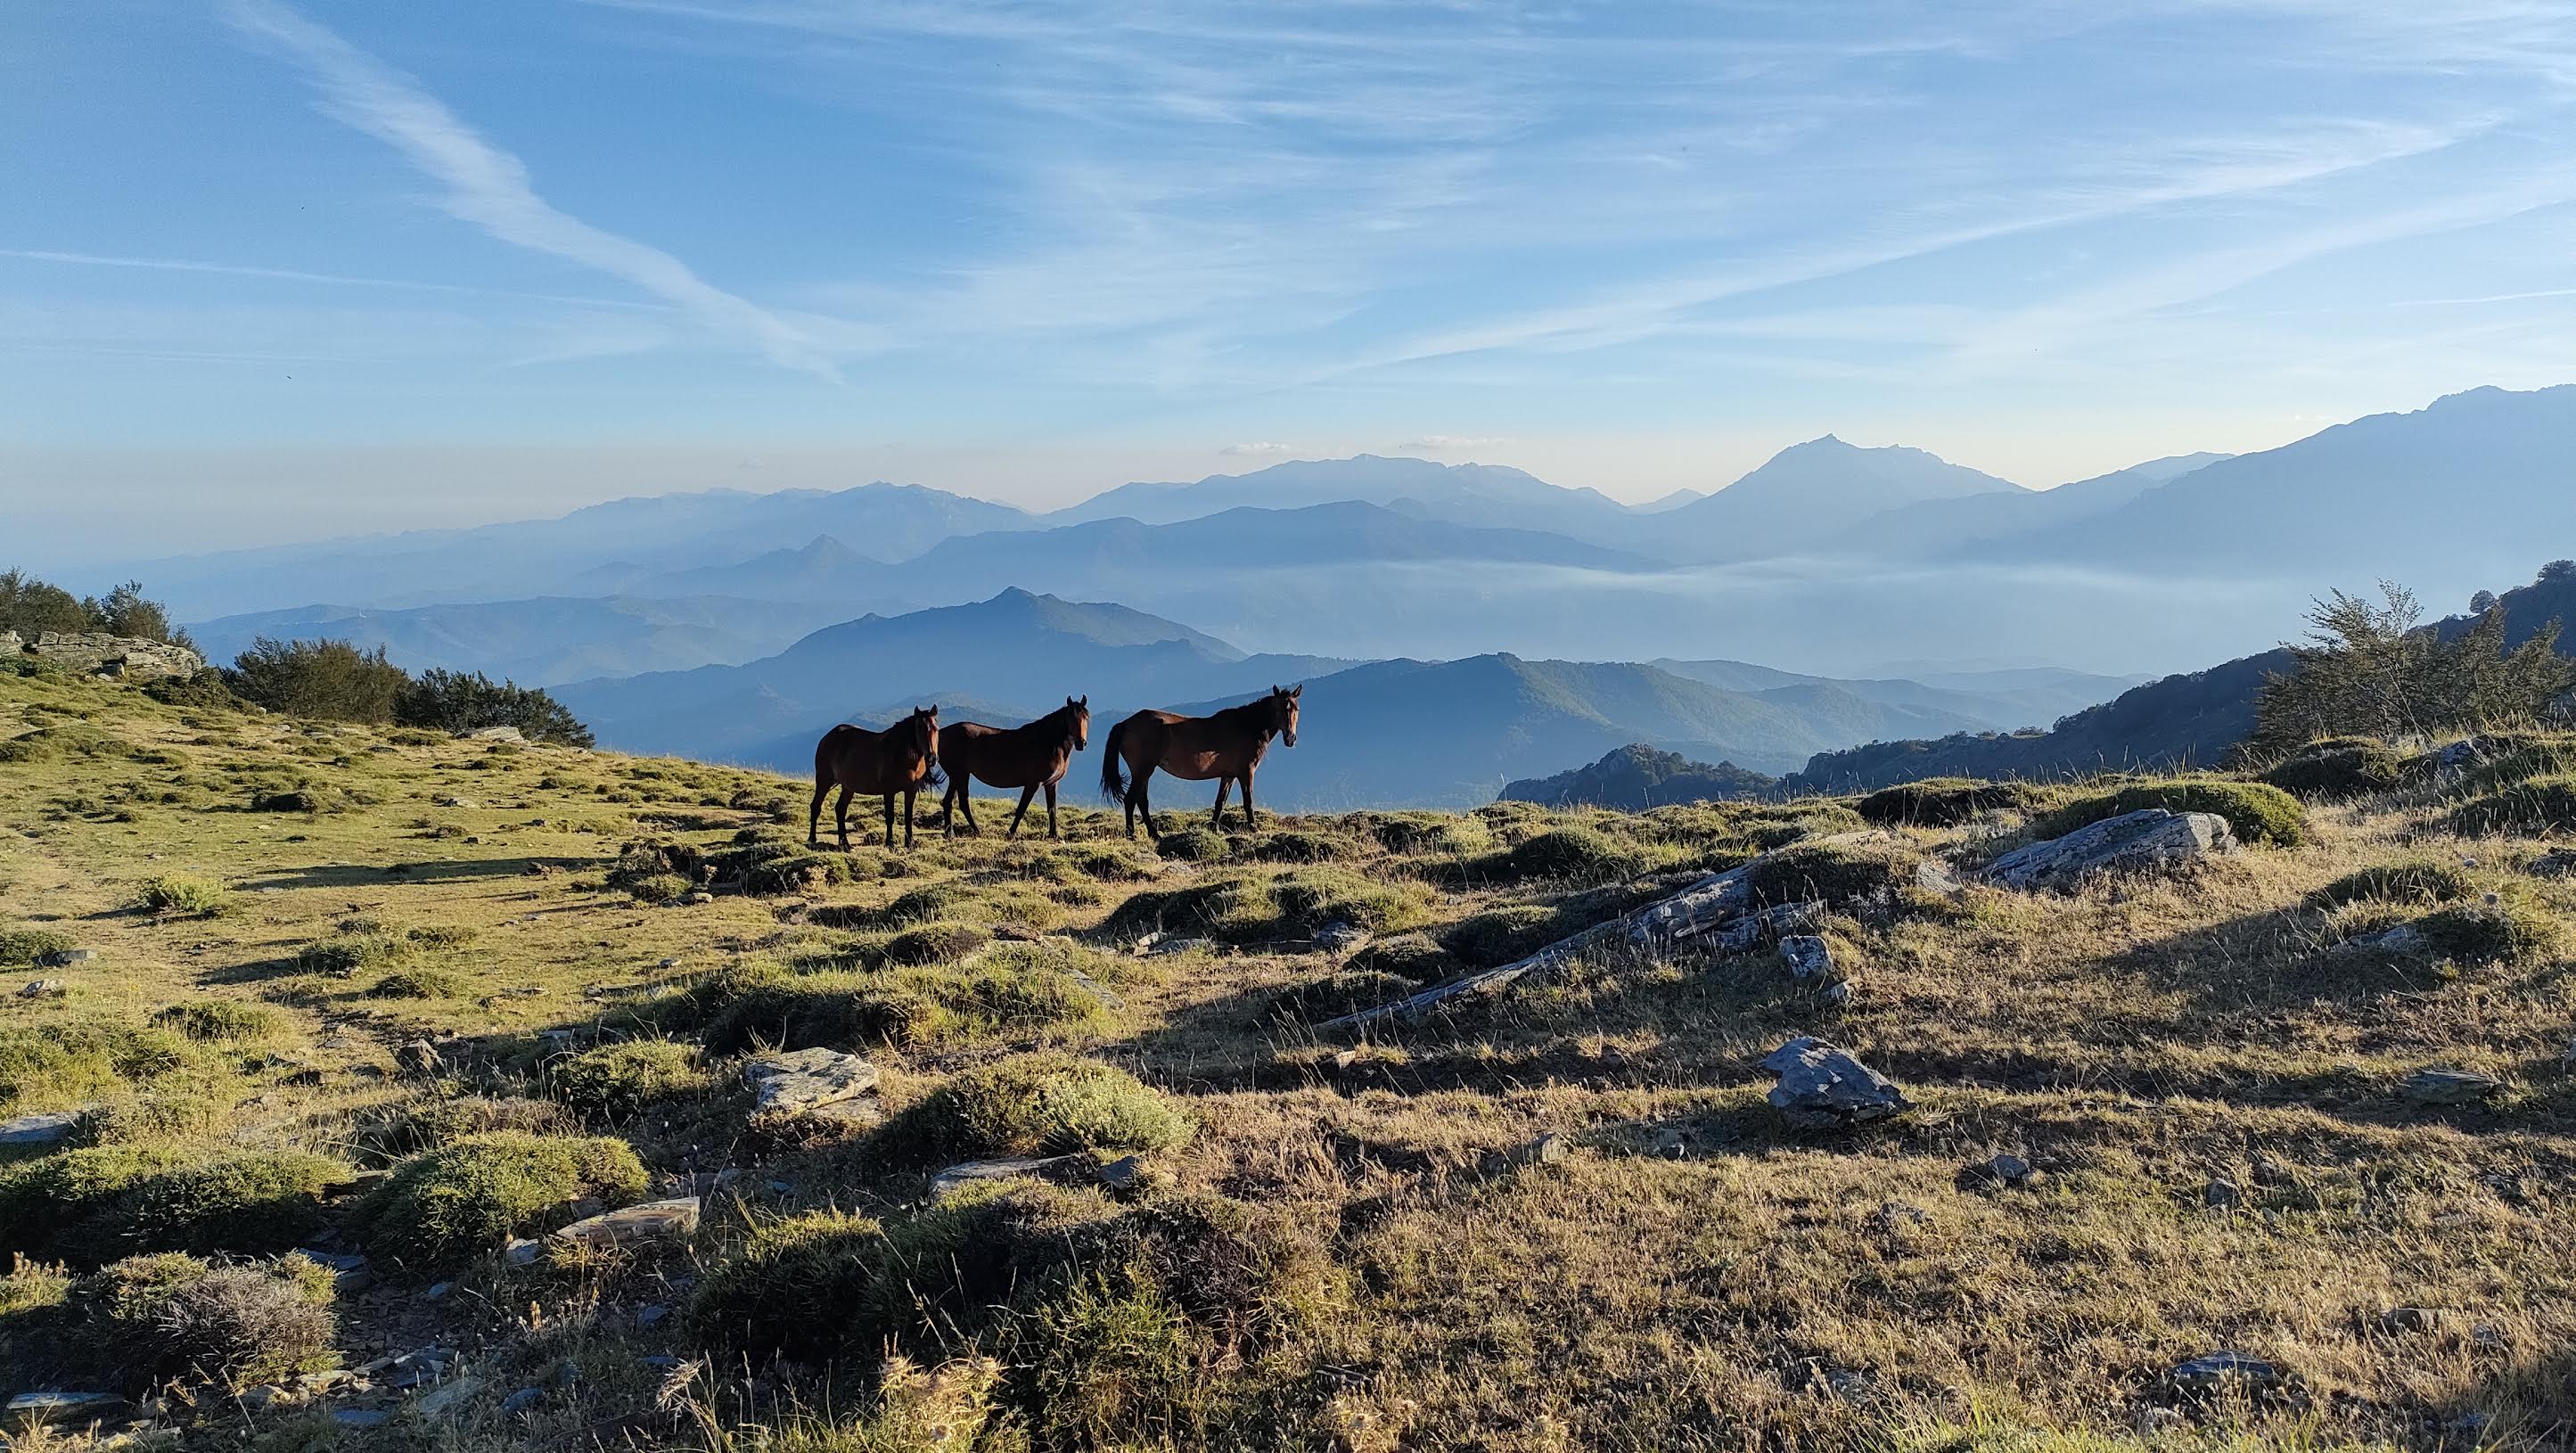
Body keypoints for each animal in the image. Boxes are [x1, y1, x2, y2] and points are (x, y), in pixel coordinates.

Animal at [808, 705, 942, 850]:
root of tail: (826, 738)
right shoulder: (889, 791)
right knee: (816, 806)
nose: (932, 758)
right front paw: (890, 844)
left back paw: (845, 844)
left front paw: (909, 844)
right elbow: (890, 817)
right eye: (920, 728)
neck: (901, 754)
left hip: (848, 787)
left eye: (936, 729)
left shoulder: (911, 790)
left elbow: (908, 817)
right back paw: (812, 839)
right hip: (824, 781)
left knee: (840, 810)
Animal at [937, 695, 1087, 840]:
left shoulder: (1051, 783)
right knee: (961, 802)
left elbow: (1052, 809)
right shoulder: (1033, 783)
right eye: (1071, 717)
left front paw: (1054, 835)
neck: (1048, 742)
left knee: (949, 802)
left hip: (958, 776)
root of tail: (940, 733)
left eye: (1086, 717)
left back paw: (951, 833)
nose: (1082, 743)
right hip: (960, 775)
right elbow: (1022, 808)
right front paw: (1011, 833)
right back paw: (972, 831)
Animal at [1097, 685, 1298, 840]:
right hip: (1143, 771)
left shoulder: (1228, 776)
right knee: (1130, 800)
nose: (1291, 738)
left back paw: (1154, 834)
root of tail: (1125, 724)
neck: (1246, 726)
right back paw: (1132, 834)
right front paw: (1254, 828)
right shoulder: (1246, 772)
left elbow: (1220, 802)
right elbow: (1248, 801)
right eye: (1280, 709)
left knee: (1141, 801)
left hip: (1143, 773)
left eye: (1296, 709)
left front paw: (1213, 828)